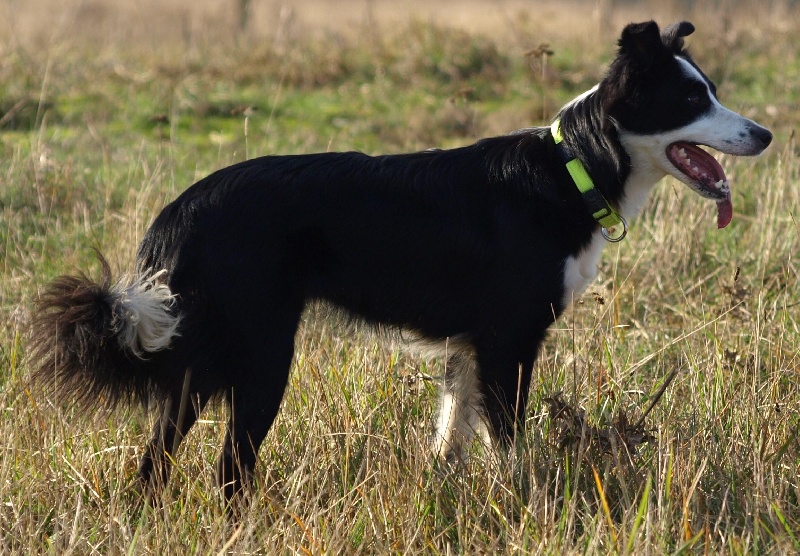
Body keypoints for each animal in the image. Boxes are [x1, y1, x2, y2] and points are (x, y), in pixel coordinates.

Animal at [29, 21, 768, 506]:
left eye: (711, 91)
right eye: (692, 100)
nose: (764, 134)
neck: (573, 169)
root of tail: (178, 210)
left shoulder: (470, 349)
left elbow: (452, 435)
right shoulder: (509, 342)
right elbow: (508, 445)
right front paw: (527, 508)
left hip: (201, 359)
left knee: (156, 459)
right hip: (261, 355)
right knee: (228, 471)